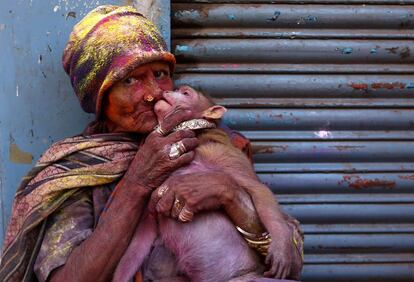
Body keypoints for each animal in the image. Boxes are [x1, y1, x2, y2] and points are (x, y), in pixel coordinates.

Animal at [113, 86, 304, 282]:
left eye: (185, 93)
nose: (165, 91)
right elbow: (143, 234)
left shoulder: (219, 150)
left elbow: (258, 189)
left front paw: (281, 243)